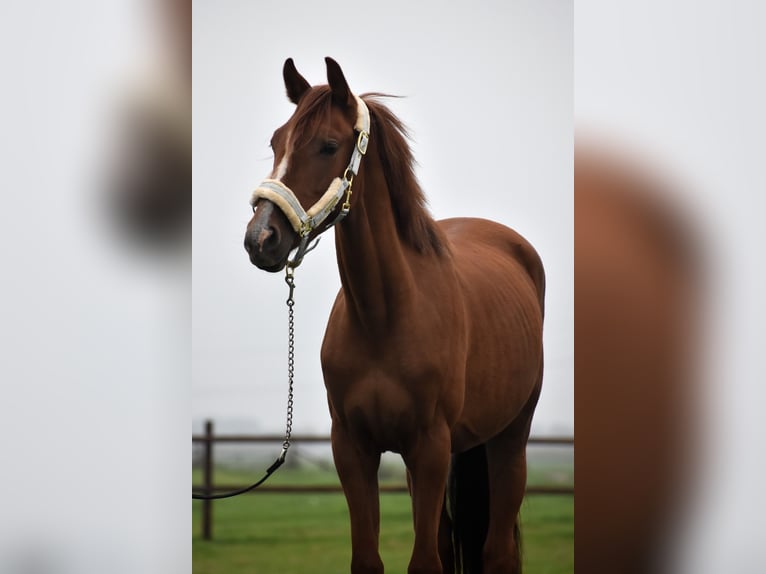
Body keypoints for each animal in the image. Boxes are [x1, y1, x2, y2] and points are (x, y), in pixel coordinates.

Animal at [246, 58, 544, 574]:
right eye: (275, 141)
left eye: (327, 145)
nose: (260, 238)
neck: (384, 318)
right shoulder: (353, 448)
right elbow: (370, 559)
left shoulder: (430, 447)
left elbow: (425, 563)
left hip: (509, 440)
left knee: (498, 553)